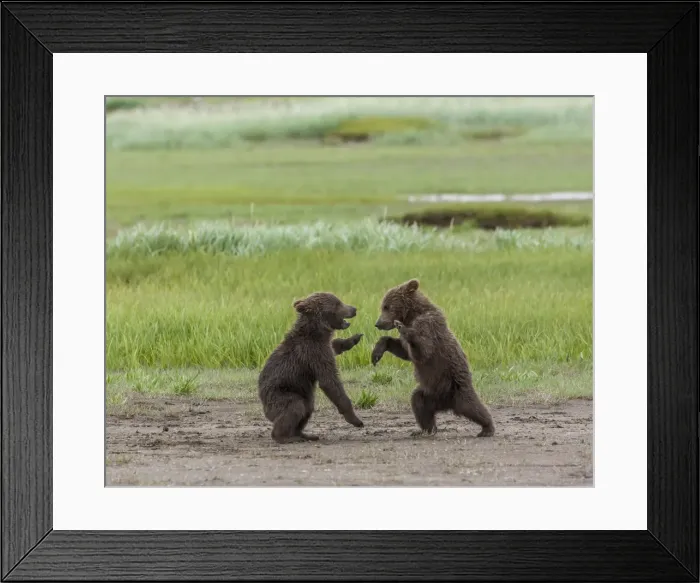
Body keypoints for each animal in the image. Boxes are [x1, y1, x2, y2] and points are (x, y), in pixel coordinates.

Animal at [258, 292, 365, 443]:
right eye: (337, 303)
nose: (354, 309)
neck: (315, 332)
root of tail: (266, 412)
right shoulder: (313, 353)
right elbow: (330, 382)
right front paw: (355, 420)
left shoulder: (322, 347)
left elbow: (334, 346)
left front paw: (353, 339)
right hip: (280, 395)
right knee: (295, 408)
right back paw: (285, 437)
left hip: (302, 394)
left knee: (307, 408)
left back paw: (304, 434)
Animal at [371, 279, 495, 438]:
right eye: (383, 306)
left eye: (387, 306)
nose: (378, 323)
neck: (412, 314)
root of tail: (447, 405)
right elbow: (405, 352)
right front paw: (376, 353)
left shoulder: (428, 325)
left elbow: (423, 350)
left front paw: (405, 329)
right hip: (430, 394)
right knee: (419, 403)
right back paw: (425, 430)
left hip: (458, 390)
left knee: (473, 408)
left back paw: (487, 428)